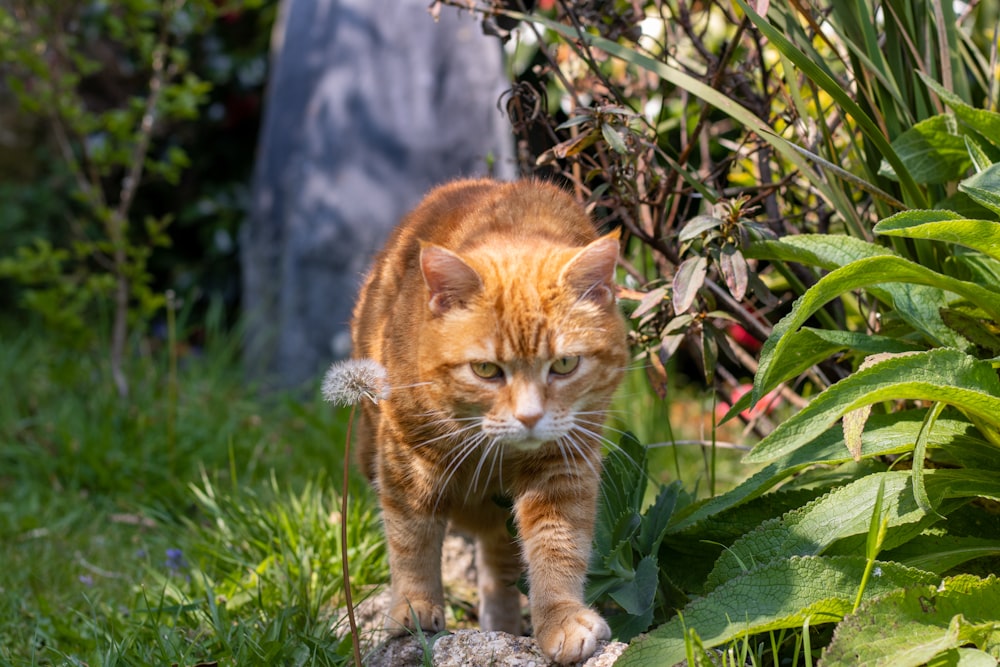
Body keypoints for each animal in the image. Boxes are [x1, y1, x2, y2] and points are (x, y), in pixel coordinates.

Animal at [354, 177, 624, 664]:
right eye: (485, 370)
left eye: (564, 364)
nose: (530, 416)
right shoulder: (407, 459)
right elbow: (411, 540)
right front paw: (413, 606)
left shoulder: (563, 465)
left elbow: (558, 545)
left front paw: (560, 618)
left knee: (499, 563)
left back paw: (502, 626)